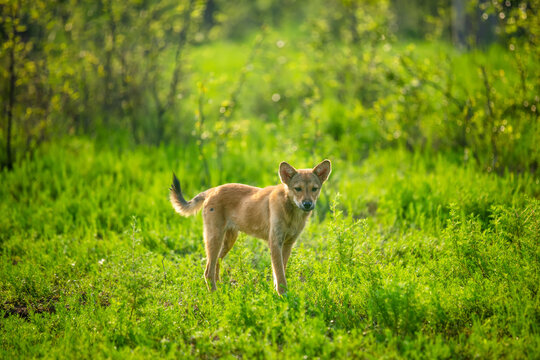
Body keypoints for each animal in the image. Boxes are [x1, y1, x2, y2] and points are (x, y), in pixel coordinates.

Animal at [169, 159, 332, 294]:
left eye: (314, 189)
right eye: (298, 189)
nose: (307, 204)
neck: (292, 213)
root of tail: (212, 190)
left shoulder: (287, 245)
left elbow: (279, 273)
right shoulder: (275, 243)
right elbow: (280, 275)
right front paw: (284, 297)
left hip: (228, 241)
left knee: (215, 265)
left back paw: (221, 288)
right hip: (215, 239)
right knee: (208, 271)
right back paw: (215, 296)